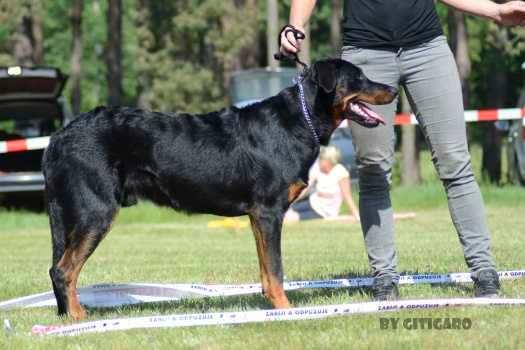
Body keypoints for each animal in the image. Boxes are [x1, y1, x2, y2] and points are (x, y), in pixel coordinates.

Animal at [43, 58, 396, 320]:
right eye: (359, 78)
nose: (392, 89)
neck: (299, 120)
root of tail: (59, 137)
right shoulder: (269, 212)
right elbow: (276, 268)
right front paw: (286, 310)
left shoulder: (258, 217)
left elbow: (266, 269)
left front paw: (272, 307)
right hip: (96, 212)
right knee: (63, 271)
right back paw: (78, 318)